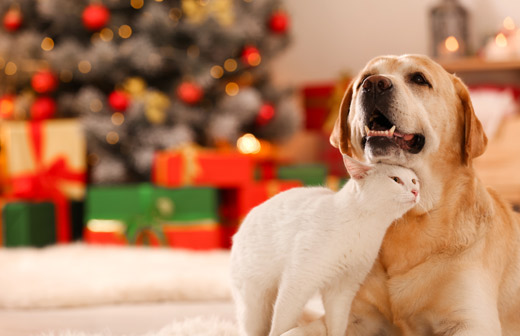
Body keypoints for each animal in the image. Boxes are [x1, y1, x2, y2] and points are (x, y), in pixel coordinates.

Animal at [230, 156, 420, 336]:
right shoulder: (297, 281)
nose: (416, 191)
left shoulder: (343, 289)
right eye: (395, 179)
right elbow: (281, 324)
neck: (363, 227)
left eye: (414, 180)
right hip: (254, 305)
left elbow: (337, 325)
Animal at [288, 55, 520, 336]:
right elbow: (294, 331)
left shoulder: (471, 321)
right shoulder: (351, 317)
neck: (406, 218)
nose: (374, 84)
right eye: (364, 79)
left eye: (419, 78)